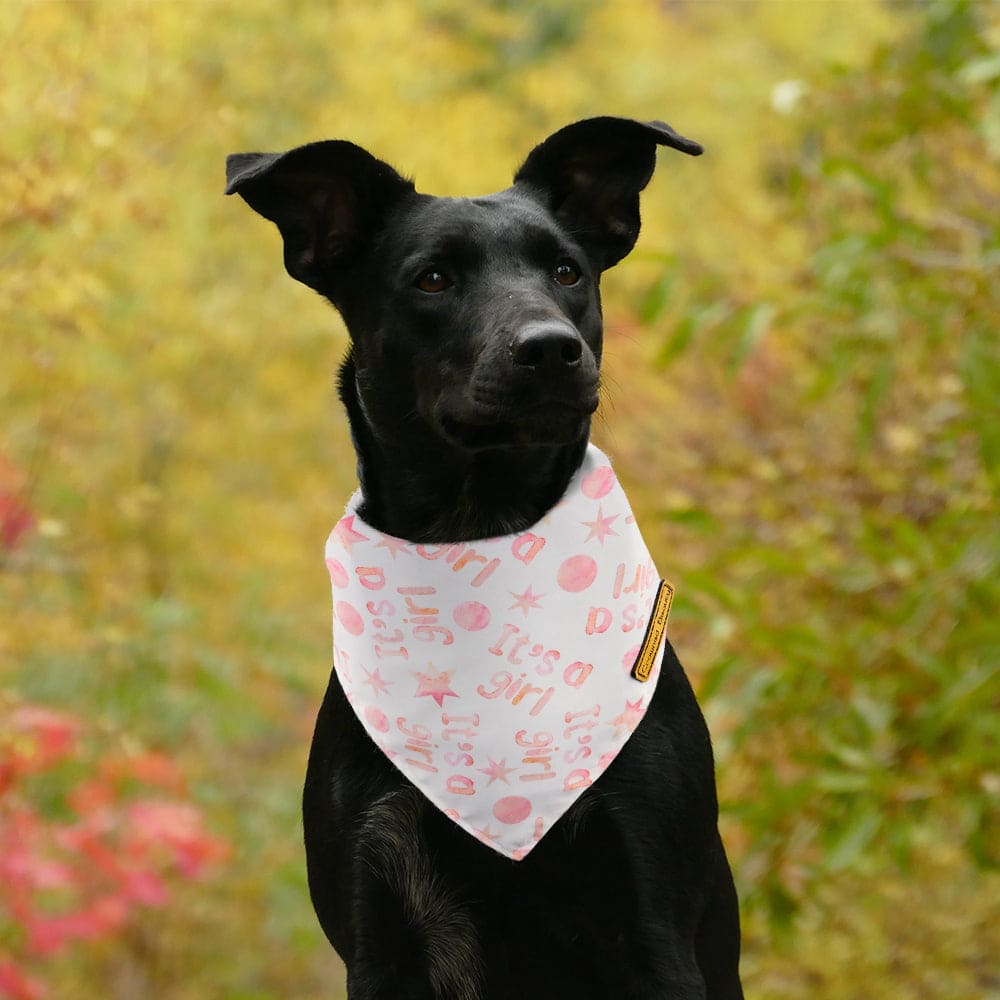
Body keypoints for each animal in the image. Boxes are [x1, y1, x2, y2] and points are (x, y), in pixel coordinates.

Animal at [227, 119, 744, 1000]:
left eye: (568, 271)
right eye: (432, 279)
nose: (550, 350)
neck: (481, 538)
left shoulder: (651, 918)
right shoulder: (380, 921)